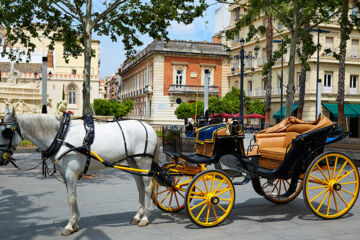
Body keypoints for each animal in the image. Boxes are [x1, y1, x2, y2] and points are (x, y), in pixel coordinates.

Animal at [0, 108, 159, 235]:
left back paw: (145, 218)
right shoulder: (66, 174)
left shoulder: (71, 173)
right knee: (140, 187)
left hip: (143, 162)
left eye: (6, 133)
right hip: (133, 163)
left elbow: (71, 198)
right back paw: (137, 216)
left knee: (148, 187)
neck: (60, 136)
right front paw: (75, 223)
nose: (1, 159)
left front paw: (69, 225)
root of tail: (149, 127)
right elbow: (72, 196)